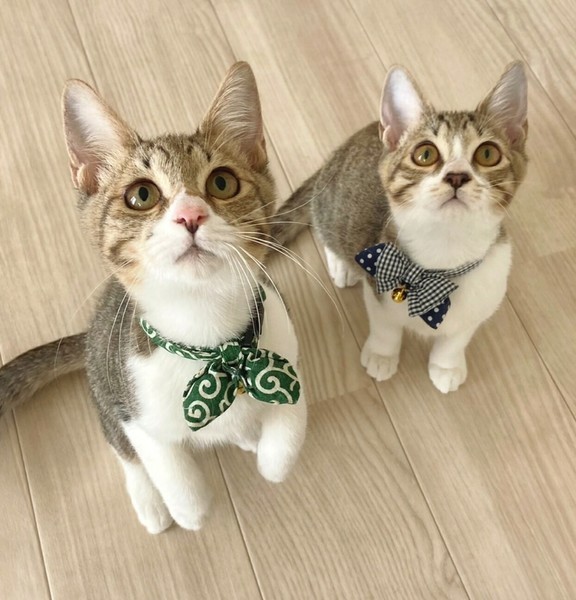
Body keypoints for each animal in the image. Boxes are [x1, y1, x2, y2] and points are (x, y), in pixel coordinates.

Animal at [0, 62, 307, 534]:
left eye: (222, 182)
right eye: (141, 195)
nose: (190, 215)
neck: (211, 344)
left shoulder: (279, 327)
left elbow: (291, 415)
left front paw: (275, 457)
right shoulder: (131, 398)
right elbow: (162, 458)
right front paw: (189, 506)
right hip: (101, 380)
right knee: (121, 447)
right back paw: (150, 500)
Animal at [272, 62, 528, 393]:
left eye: (488, 154)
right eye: (425, 154)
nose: (457, 176)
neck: (442, 259)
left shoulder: (484, 297)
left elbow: (458, 337)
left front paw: (447, 365)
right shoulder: (377, 284)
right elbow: (386, 326)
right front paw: (382, 355)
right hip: (335, 204)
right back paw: (342, 266)